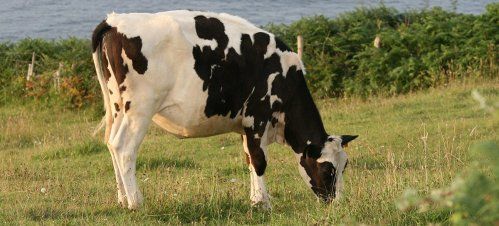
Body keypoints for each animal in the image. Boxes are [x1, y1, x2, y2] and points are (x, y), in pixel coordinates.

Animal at [93, 9, 360, 209]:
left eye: (345, 165)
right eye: (327, 169)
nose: (337, 202)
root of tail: (114, 21)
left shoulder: (245, 125)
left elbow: (249, 158)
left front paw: (255, 199)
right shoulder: (256, 116)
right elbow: (259, 160)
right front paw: (264, 203)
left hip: (117, 106)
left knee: (111, 144)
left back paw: (122, 199)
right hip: (139, 108)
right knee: (124, 148)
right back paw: (136, 203)